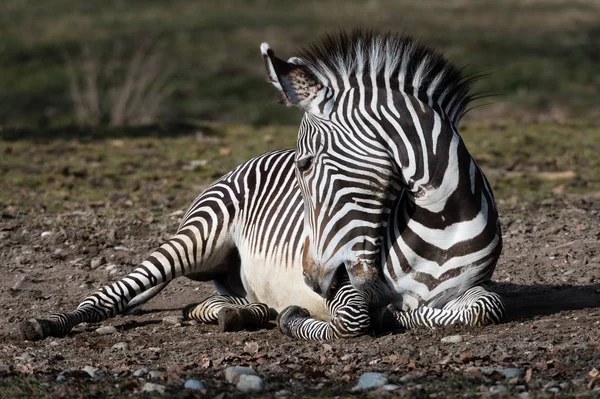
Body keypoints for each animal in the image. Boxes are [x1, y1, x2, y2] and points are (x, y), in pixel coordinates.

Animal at [18, 32, 504, 344]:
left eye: (305, 164)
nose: (313, 281)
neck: (441, 218)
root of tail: (247, 160)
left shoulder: (473, 287)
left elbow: (483, 308)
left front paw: (405, 313)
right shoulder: (349, 286)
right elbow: (350, 318)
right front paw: (302, 318)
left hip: (232, 274)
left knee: (209, 304)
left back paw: (238, 314)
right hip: (196, 237)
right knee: (113, 293)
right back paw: (46, 323)